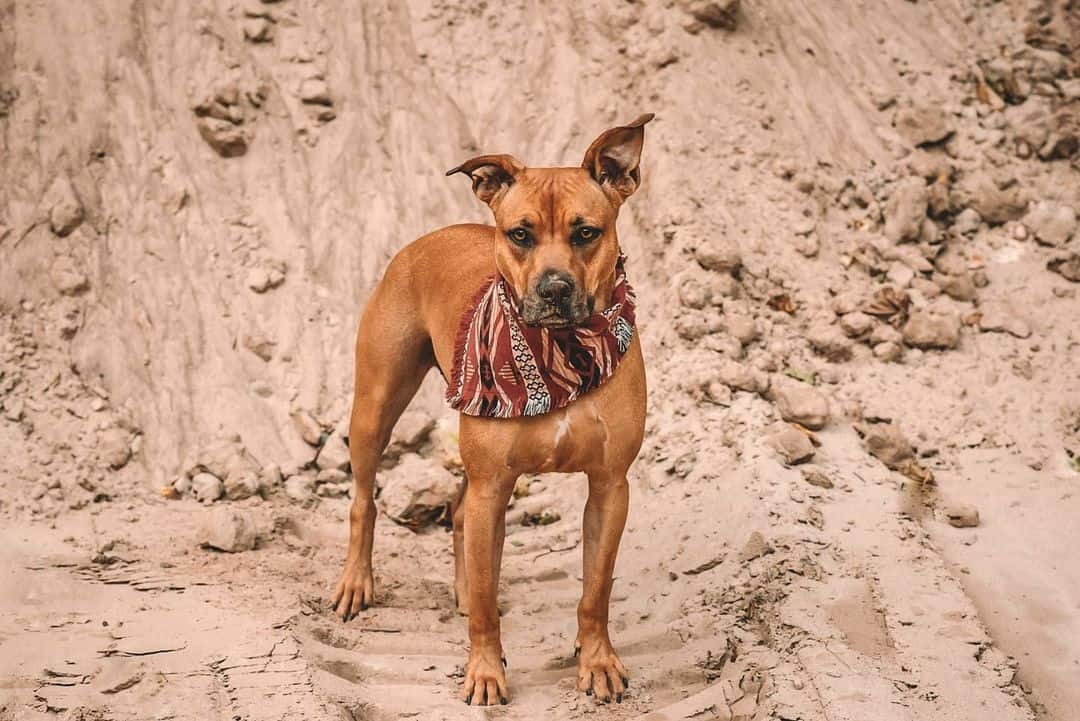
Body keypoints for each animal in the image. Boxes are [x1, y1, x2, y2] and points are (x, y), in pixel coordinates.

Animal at [328, 112, 648, 703]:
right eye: (520, 234)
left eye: (586, 233)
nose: (554, 288)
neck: (558, 353)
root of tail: (428, 237)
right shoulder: (492, 485)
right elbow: (484, 605)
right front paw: (484, 672)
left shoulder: (609, 487)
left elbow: (595, 591)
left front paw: (597, 661)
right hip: (376, 409)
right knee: (364, 501)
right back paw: (356, 583)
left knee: (457, 514)